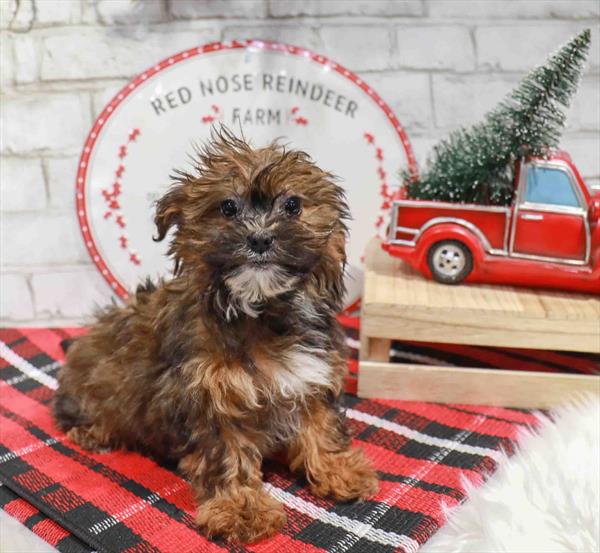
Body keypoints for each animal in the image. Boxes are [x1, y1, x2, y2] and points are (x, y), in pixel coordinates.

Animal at [54, 129, 378, 544]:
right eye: (228, 208)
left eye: (292, 205)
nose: (260, 238)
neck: (261, 310)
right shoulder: (213, 398)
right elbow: (228, 456)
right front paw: (241, 508)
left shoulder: (312, 376)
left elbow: (321, 426)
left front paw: (339, 469)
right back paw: (90, 432)